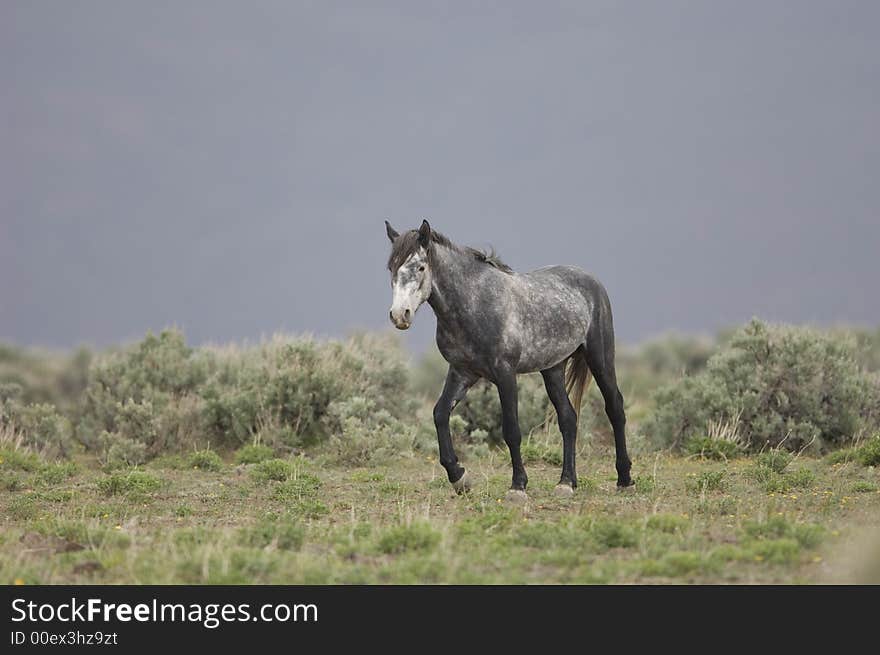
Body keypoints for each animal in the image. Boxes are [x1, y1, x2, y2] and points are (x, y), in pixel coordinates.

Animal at [384, 220, 632, 502]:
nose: (399, 315)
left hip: (600, 358)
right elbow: (440, 414)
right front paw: (459, 477)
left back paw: (624, 479)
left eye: (421, 267)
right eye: (392, 268)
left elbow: (511, 430)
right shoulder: (462, 372)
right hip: (552, 370)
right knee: (568, 418)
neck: (475, 303)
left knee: (615, 408)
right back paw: (566, 482)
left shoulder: (505, 375)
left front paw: (518, 486)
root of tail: (592, 281)